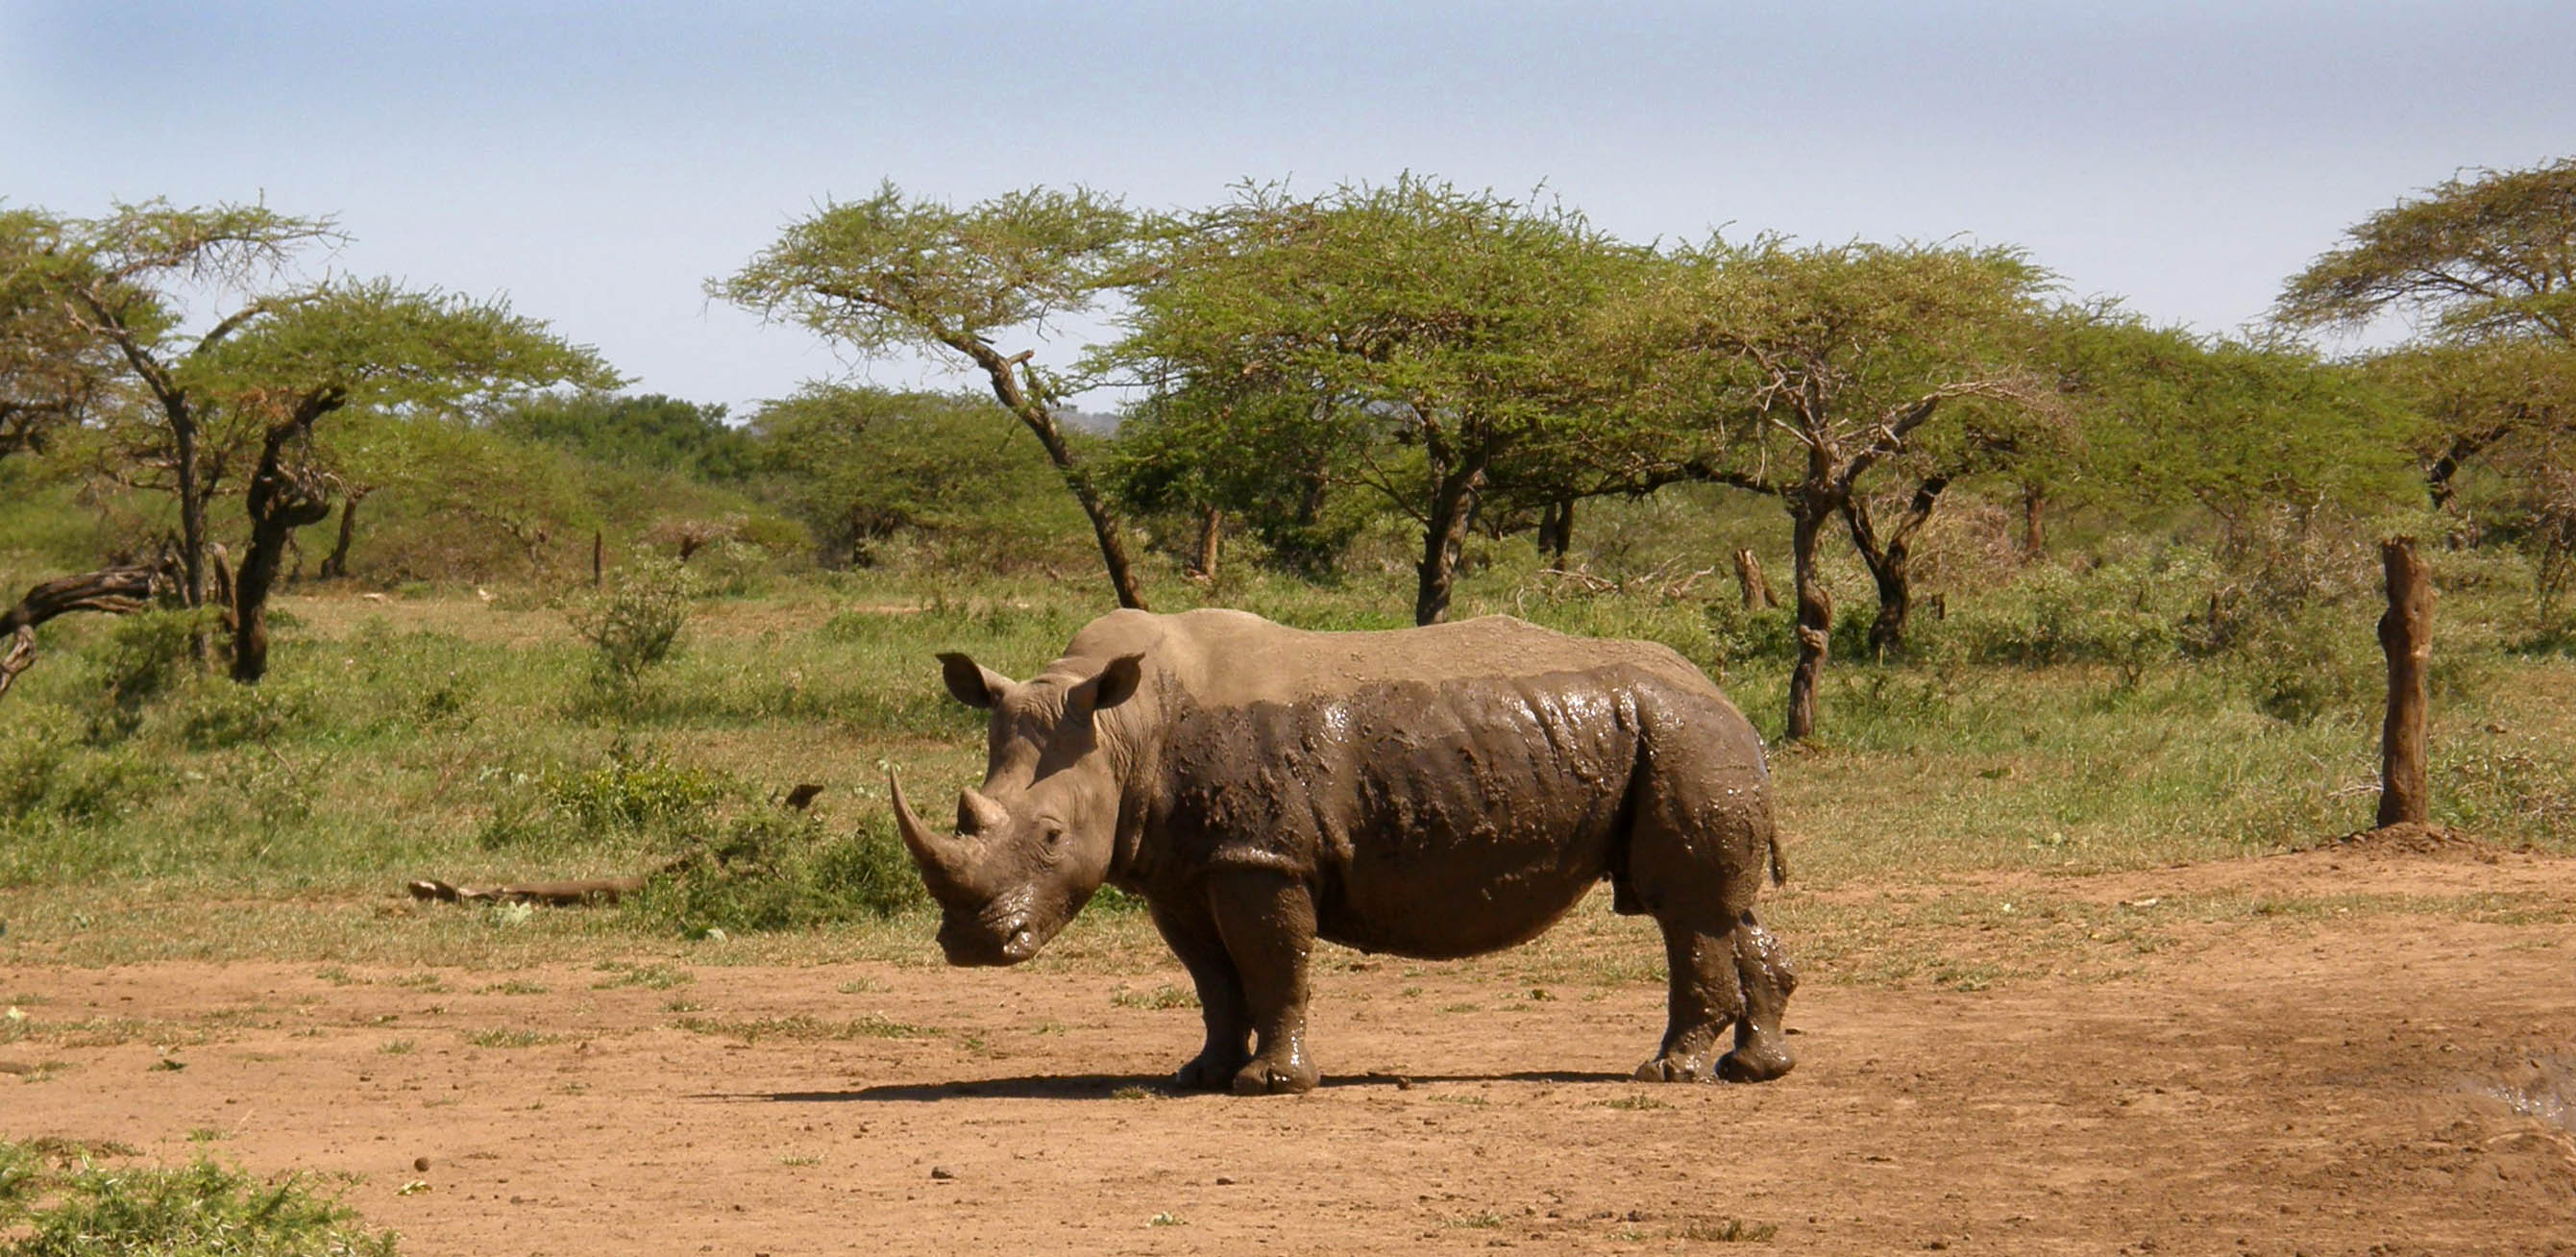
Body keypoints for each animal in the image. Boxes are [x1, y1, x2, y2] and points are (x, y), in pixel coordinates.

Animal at [889, 608, 1797, 1094]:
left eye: (1049, 837)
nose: (971, 947)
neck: (1122, 729)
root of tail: (1724, 696)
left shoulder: (1261, 855)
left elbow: (1271, 964)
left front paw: (1270, 1085)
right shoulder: (1183, 868)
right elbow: (1212, 980)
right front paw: (1199, 1075)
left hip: (1683, 735)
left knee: (1683, 911)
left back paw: (1667, 1074)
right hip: (1686, 740)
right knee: (1728, 909)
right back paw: (1754, 1070)